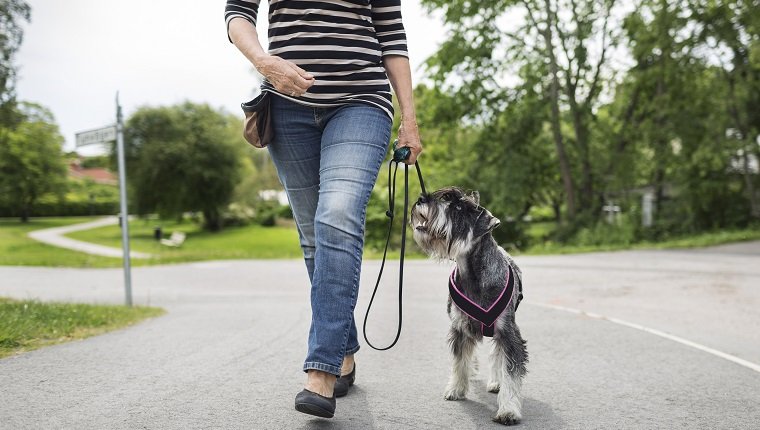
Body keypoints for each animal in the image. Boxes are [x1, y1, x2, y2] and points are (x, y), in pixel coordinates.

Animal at [410, 186, 528, 424]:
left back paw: (496, 382)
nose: (420, 199)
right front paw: (456, 389)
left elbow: (510, 370)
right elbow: (460, 360)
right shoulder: (459, 328)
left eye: (457, 208)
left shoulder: (509, 333)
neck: (473, 275)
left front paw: (508, 410)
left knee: (497, 355)